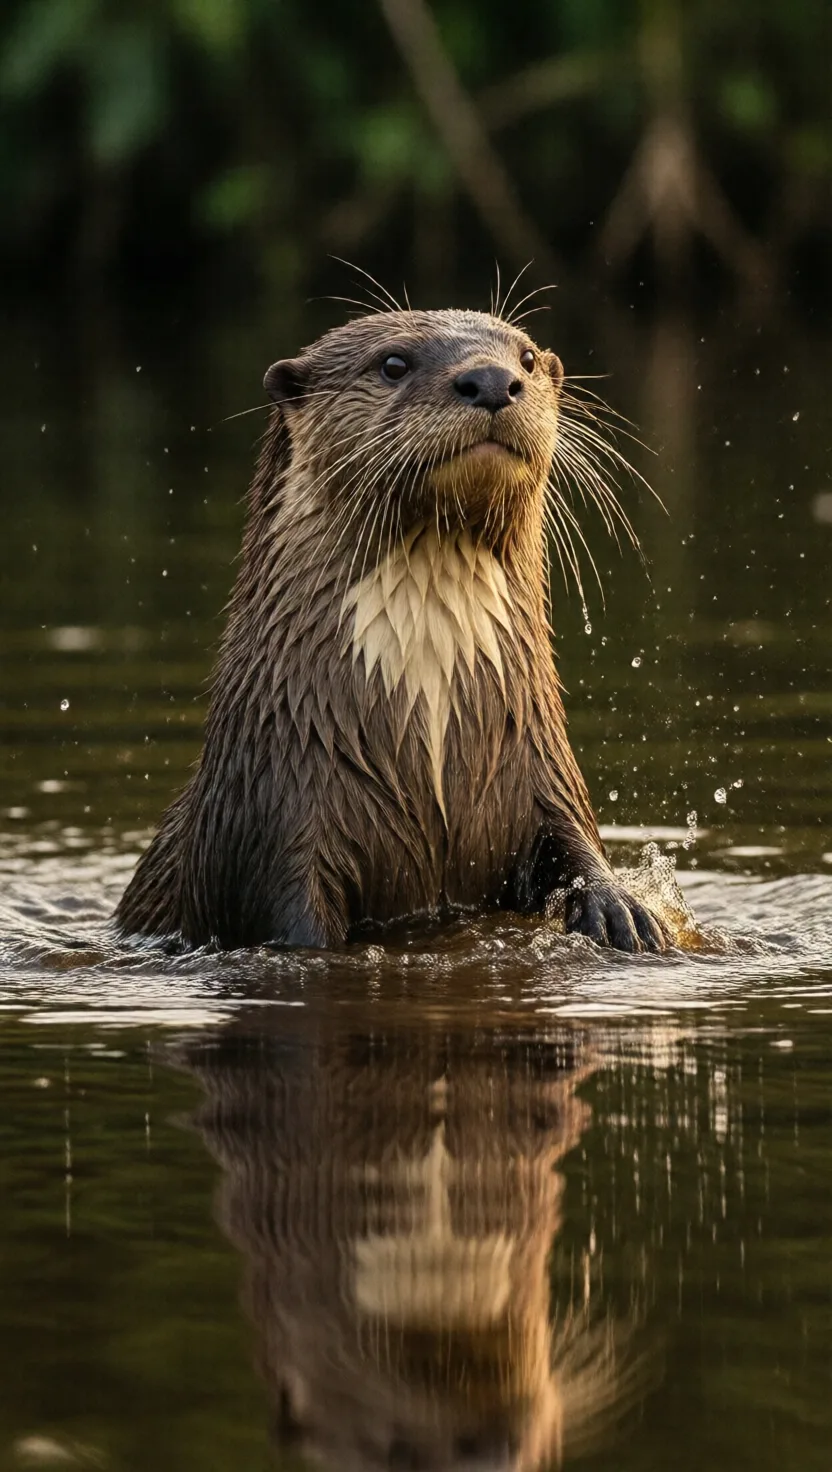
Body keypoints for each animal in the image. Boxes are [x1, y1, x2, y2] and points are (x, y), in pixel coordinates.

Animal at [116, 307, 666, 952]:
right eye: (393, 363)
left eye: (527, 358)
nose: (491, 379)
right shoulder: (272, 826)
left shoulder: (546, 773)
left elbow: (575, 843)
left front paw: (619, 908)